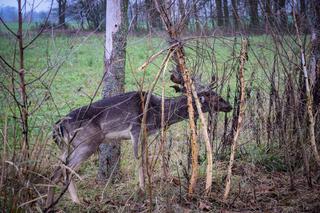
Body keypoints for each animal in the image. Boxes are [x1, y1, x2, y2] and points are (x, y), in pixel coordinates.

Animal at [44, 72, 232, 210]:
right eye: (215, 96)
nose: (229, 106)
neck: (157, 114)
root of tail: (57, 126)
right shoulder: (135, 129)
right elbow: (139, 160)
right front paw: (142, 191)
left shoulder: (144, 135)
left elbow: (145, 160)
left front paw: (146, 186)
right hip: (87, 142)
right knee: (67, 169)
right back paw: (77, 202)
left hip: (68, 146)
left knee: (56, 171)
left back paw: (49, 204)